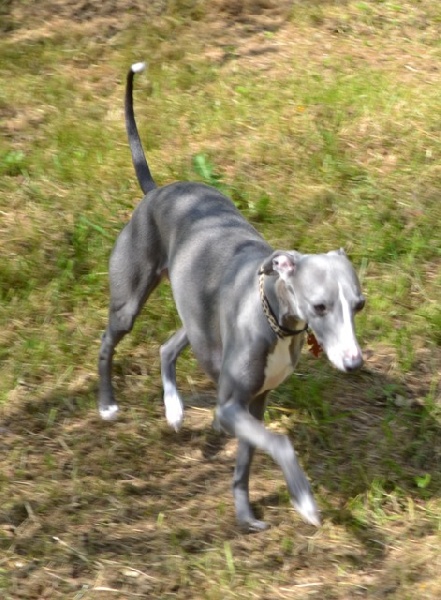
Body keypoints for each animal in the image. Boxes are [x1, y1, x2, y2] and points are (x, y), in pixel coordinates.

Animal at [99, 61, 364, 528]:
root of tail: (156, 191)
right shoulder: (231, 407)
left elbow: (248, 458)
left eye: (359, 305)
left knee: (168, 345)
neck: (274, 315)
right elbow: (279, 442)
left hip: (197, 317)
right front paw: (305, 500)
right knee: (107, 341)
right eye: (320, 306)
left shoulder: (253, 404)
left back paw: (174, 408)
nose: (354, 363)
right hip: (129, 302)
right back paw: (108, 405)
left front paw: (244, 512)